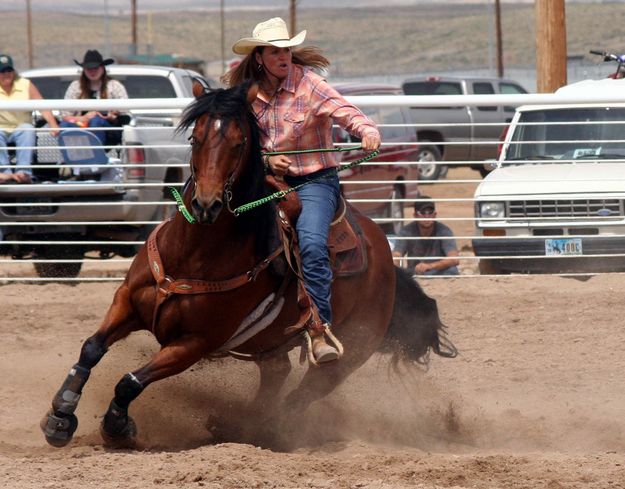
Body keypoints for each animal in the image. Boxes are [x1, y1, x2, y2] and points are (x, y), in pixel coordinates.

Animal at [40, 79, 454, 446]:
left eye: (239, 144)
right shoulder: (127, 301)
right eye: (195, 138)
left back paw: (255, 428)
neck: (193, 253)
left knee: (302, 394)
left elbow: (130, 381)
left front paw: (117, 426)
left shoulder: (194, 343)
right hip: (269, 344)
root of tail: (385, 256)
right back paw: (233, 425)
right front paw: (60, 416)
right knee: (277, 375)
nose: (206, 204)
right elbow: (91, 348)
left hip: (350, 351)